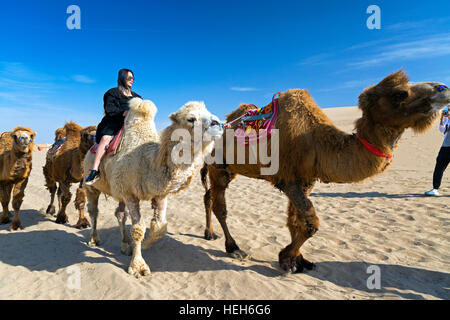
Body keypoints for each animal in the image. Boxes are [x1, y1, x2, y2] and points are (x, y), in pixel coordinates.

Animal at [83, 97, 224, 278]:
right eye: (190, 119)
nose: (218, 123)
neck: (148, 161)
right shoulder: (130, 195)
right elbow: (137, 229)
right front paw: (138, 267)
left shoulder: (160, 194)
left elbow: (159, 228)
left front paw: (141, 246)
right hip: (92, 185)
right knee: (94, 211)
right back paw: (94, 239)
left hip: (119, 188)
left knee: (120, 214)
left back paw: (125, 245)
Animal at [201, 70, 450, 272]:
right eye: (400, 93)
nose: (443, 88)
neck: (316, 140)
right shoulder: (289, 180)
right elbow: (311, 223)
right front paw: (286, 257)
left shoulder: (306, 181)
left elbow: (295, 220)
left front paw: (298, 260)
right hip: (218, 167)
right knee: (219, 205)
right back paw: (233, 247)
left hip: (228, 169)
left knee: (208, 196)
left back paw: (209, 233)